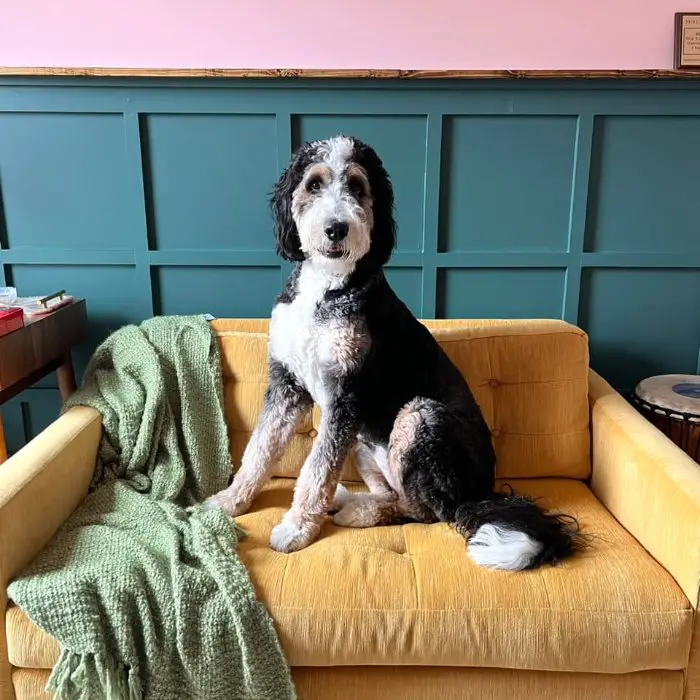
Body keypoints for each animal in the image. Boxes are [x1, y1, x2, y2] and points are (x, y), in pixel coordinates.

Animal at [204, 135, 584, 568]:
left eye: (356, 187)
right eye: (314, 184)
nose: (337, 228)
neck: (327, 286)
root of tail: (480, 493)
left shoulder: (346, 395)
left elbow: (316, 469)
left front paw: (297, 528)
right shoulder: (287, 385)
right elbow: (259, 449)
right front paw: (228, 501)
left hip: (419, 417)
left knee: (426, 511)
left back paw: (352, 510)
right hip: (364, 443)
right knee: (394, 494)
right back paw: (345, 498)